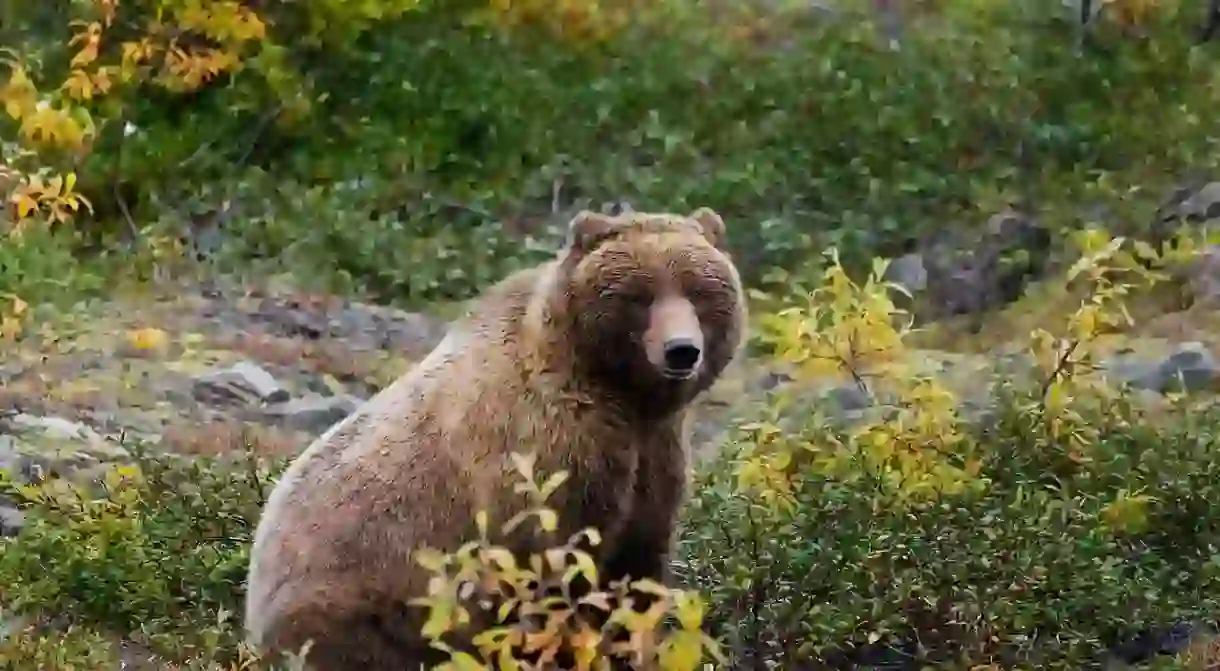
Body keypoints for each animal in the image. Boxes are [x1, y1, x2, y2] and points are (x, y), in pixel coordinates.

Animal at [242, 207, 746, 668]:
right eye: (639, 294)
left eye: (699, 291)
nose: (682, 351)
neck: (622, 396)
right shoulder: (546, 450)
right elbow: (548, 569)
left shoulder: (655, 458)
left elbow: (637, 577)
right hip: (357, 600)